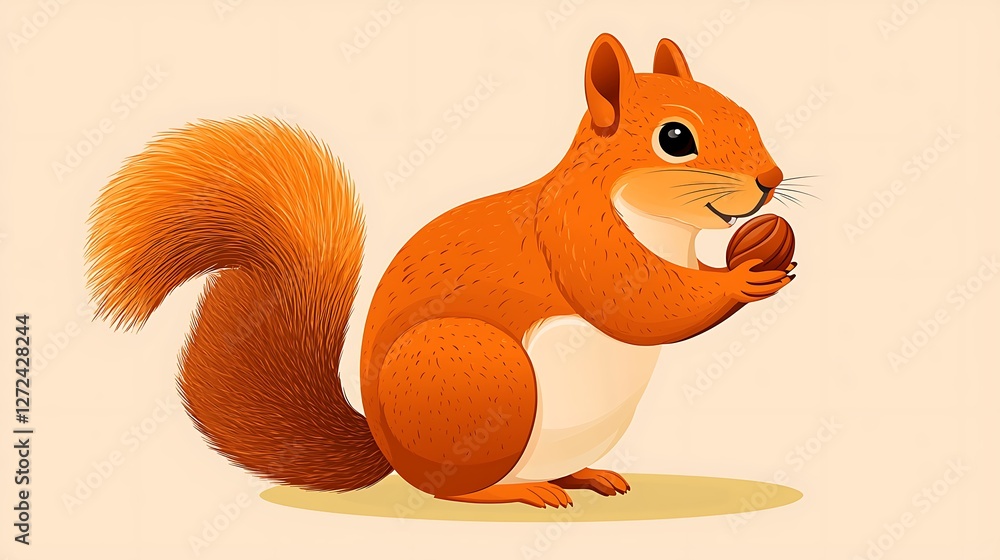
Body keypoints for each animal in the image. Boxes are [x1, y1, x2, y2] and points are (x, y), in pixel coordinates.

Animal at [86, 34, 794, 508]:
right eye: (675, 138)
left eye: (743, 112)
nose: (772, 178)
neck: (664, 227)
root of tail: (390, 451)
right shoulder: (577, 237)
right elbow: (644, 305)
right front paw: (742, 278)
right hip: (487, 378)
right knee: (452, 491)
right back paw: (515, 494)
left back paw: (582, 476)